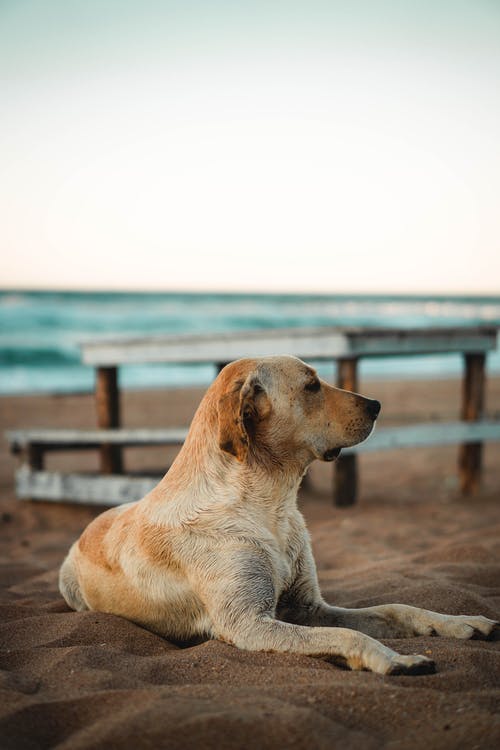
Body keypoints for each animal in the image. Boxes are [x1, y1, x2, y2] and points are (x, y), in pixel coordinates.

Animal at [59, 356, 496, 676]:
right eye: (312, 386)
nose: (377, 405)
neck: (272, 505)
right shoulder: (248, 623)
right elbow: (347, 636)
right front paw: (394, 659)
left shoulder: (308, 608)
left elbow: (396, 608)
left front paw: (460, 621)